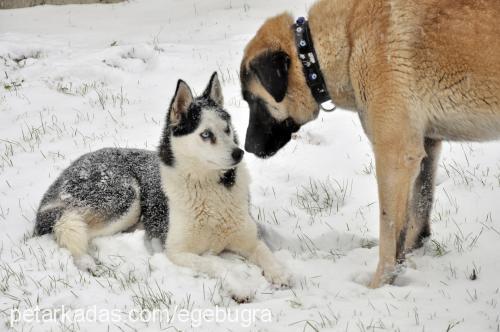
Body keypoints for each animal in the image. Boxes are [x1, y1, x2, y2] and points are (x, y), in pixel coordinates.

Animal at [35, 73, 292, 298]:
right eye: (206, 134)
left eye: (227, 129)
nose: (239, 153)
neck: (208, 187)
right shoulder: (176, 251)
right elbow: (216, 263)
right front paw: (239, 287)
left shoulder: (250, 239)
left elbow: (266, 253)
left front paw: (280, 273)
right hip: (125, 198)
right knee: (69, 229)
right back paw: (87, 261)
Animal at [238, 0, 500, 288]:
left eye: (252, 100)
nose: (247, 148)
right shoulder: (425, 146)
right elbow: (417, 212)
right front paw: (407, 261)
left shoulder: (395, 155)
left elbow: (389, 231)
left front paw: (379, 284)